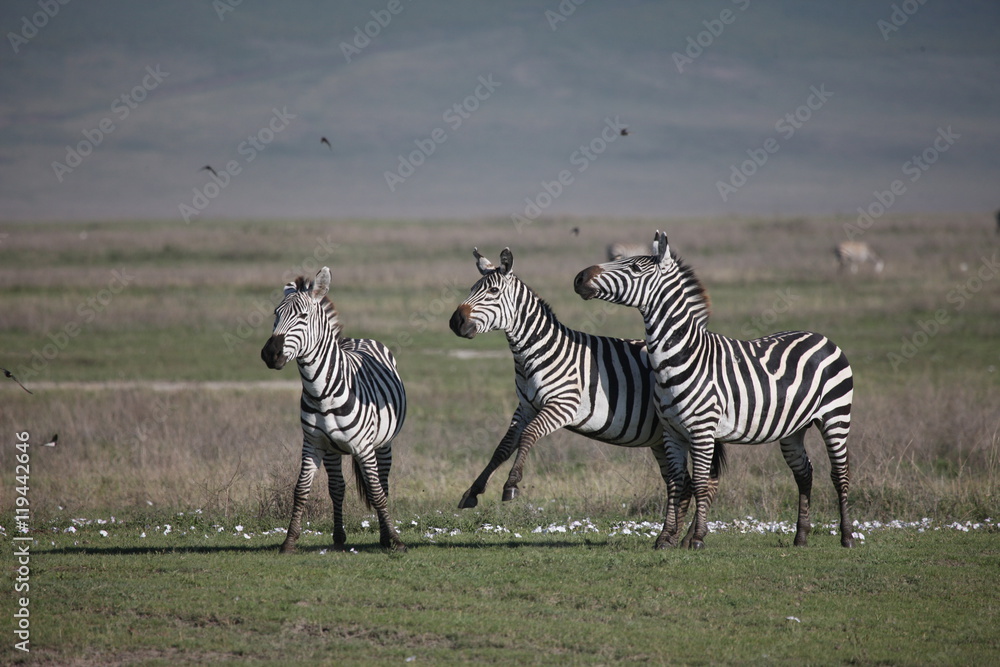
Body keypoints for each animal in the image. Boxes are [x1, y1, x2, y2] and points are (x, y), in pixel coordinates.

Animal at [260, 267, 407, 552]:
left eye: (303, 316)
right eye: (275, 314)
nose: (270, 354)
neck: (322, 394)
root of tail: (358, 339)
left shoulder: (364, 446)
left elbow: (376, 491)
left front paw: (395, 540)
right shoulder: (313, 444)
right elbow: (302, 490)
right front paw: (289, 541)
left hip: (383, 443)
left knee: (383, 483)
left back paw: (385, 536)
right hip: (333, 451)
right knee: (337, 487)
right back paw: (339, 537)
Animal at [449, 247, 725, 539]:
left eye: (492, 292)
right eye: (472, 289)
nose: (456, 321)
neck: (536, 352)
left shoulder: (562, 406)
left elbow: (528, 435)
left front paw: (511, 484)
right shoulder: (525, 407)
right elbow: (502, 447)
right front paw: (474, 490)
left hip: (696, 427)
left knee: (705, 480)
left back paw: (691, 537)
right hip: (663, 438)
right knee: (681, 483)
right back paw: (674, 536)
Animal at [574, 231, 855, 550]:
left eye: (633, 268)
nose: (580, 277)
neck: (682, 356)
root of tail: (821, 337)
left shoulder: (702, 429)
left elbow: (698, 482)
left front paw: (695, 538)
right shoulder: (671, 431)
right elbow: (676, 481)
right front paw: (665, 538)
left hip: (835, 416)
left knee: (840, 473)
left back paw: (847, 536)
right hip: (793, 429)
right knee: (804, 473)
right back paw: (801, 536)